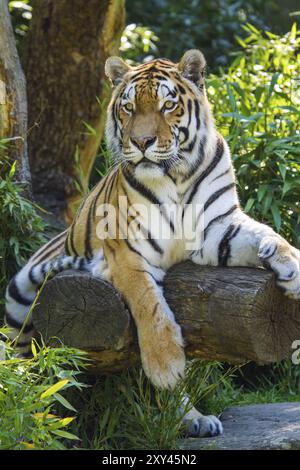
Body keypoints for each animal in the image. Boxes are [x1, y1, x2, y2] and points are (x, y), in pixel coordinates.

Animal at [4, 49, 300, 438]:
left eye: (167, 105)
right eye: (129, 108)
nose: (141, 143)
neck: (177, 175)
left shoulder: (218, 227)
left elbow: (267, 235)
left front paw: (292, 268)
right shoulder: (126, 251)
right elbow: (149, 304)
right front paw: (165, 364)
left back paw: (194, 420)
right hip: (18, 299)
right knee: (24, 366)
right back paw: (31, 412)